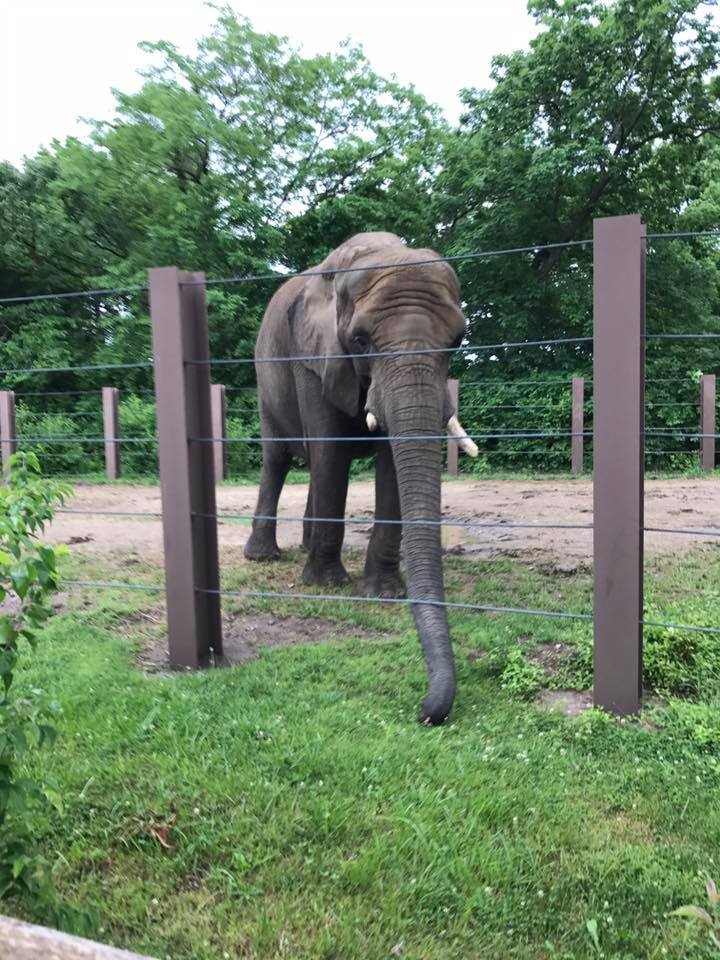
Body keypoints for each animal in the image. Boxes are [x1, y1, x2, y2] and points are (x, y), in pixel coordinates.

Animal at [244, 232, 478, 724]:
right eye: (360, 339)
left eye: (457, 340)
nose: (427, 710)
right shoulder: (313, 356)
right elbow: (330, 451)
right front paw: (327, 585)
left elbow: (389, 464)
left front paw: (383, 593)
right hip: (265, 373)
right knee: (279, 459)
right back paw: (264, 557)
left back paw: (306, 547)